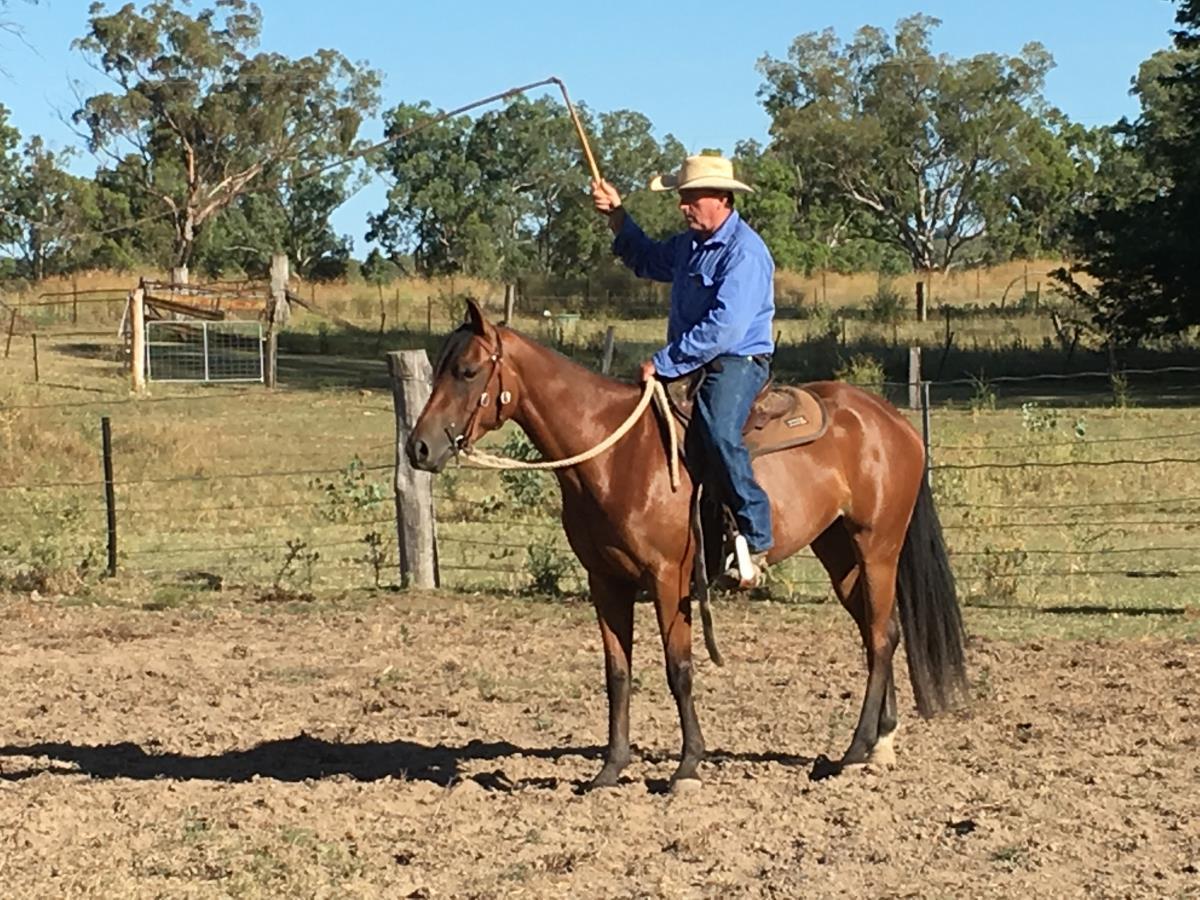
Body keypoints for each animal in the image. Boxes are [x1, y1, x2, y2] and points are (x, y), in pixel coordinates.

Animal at [407, 299, 966, 790]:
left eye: (467, 370)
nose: (420, 448)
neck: (617, 456)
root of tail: (891, 420)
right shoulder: (605, 581)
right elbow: (617, 673)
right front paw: (609, 770)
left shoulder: (668, 578)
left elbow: (679, 669)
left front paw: (688, 767)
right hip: (840, 554)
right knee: (880, 631)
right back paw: (878, 745)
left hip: (878, 548)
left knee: (881, 637)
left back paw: (851, 751)